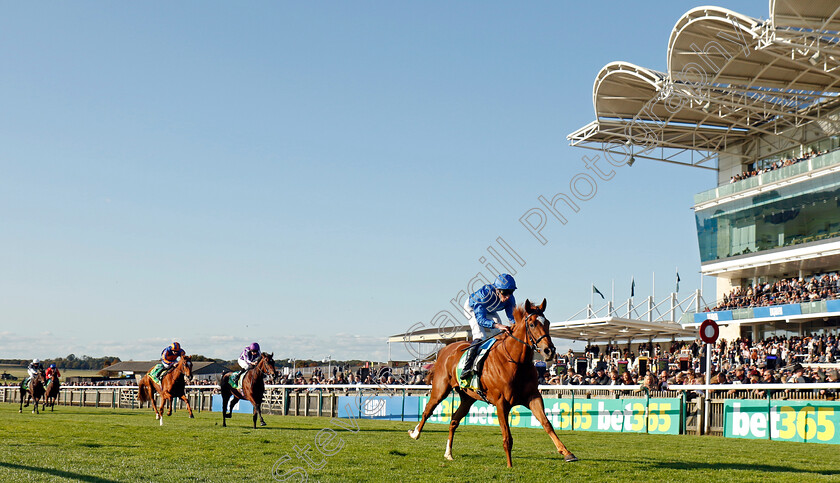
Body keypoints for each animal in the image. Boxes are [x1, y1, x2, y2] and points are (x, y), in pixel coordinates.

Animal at [408, 298, 576, 468]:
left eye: (547, 322)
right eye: (532, 324)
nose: (550, 350)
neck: (516, 362)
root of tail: (444, 350)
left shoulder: (533, 397)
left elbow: (546, 423)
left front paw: (567, 453)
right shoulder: (502, 402)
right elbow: (507, 436)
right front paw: (509, 465)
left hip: (468, 397)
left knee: (454, 420)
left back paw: (448, 453)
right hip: (440, 389)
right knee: (428, 410)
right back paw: (415, 433)